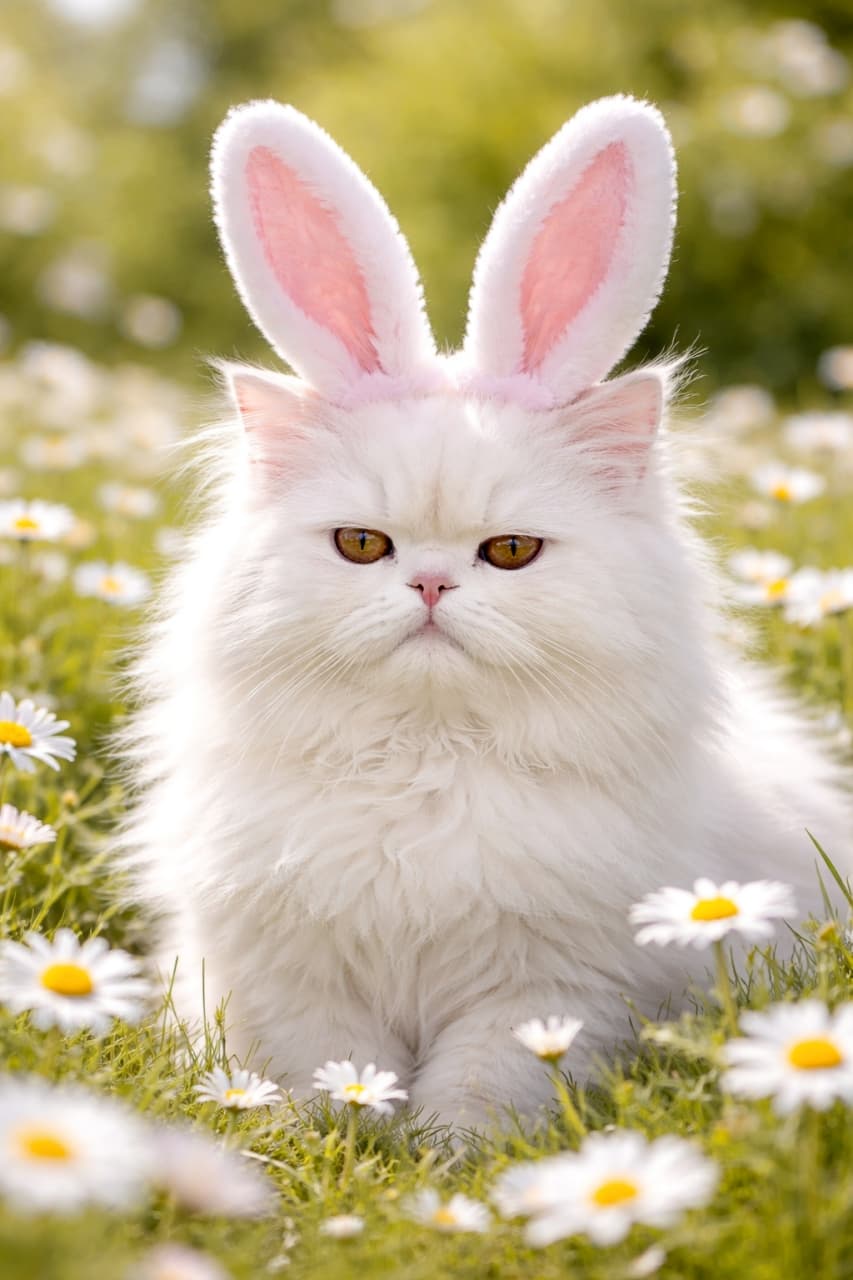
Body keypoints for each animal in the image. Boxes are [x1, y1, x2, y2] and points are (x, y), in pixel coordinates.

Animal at [120, 95, 851, 1130]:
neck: (425, 764)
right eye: (362, 546)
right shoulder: (295, 980)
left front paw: (442, 1153)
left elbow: (481, 1090)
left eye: (507, 552)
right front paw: (342, 1138)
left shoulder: (544, 986)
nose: (430, 586)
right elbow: (330, 1072)